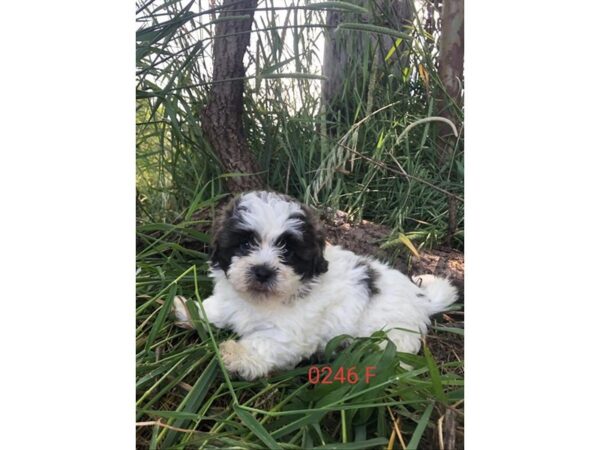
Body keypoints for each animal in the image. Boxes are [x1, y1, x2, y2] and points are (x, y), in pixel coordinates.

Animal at [175, 190, 460, 380]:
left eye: (288, 251)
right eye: (245, 244)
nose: (263, 271)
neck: (263, 299)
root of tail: (422, 299)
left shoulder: (290, 335)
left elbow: (264, 343)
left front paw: (236, 354)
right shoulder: (232, 300)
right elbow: (217, 307)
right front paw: (189, 310)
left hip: (394, 334)